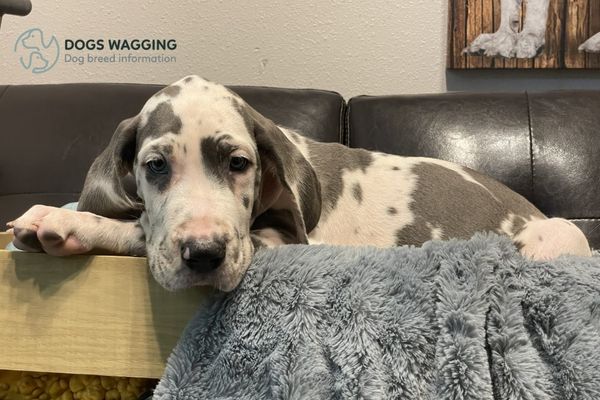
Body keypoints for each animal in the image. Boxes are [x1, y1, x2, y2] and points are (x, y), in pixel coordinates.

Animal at [7, 76, 592, 292]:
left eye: (238, 163)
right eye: (155, 166)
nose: (203, 255)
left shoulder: (274, 243)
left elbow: (138, 230)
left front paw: (65, 221)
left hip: (556, 237)